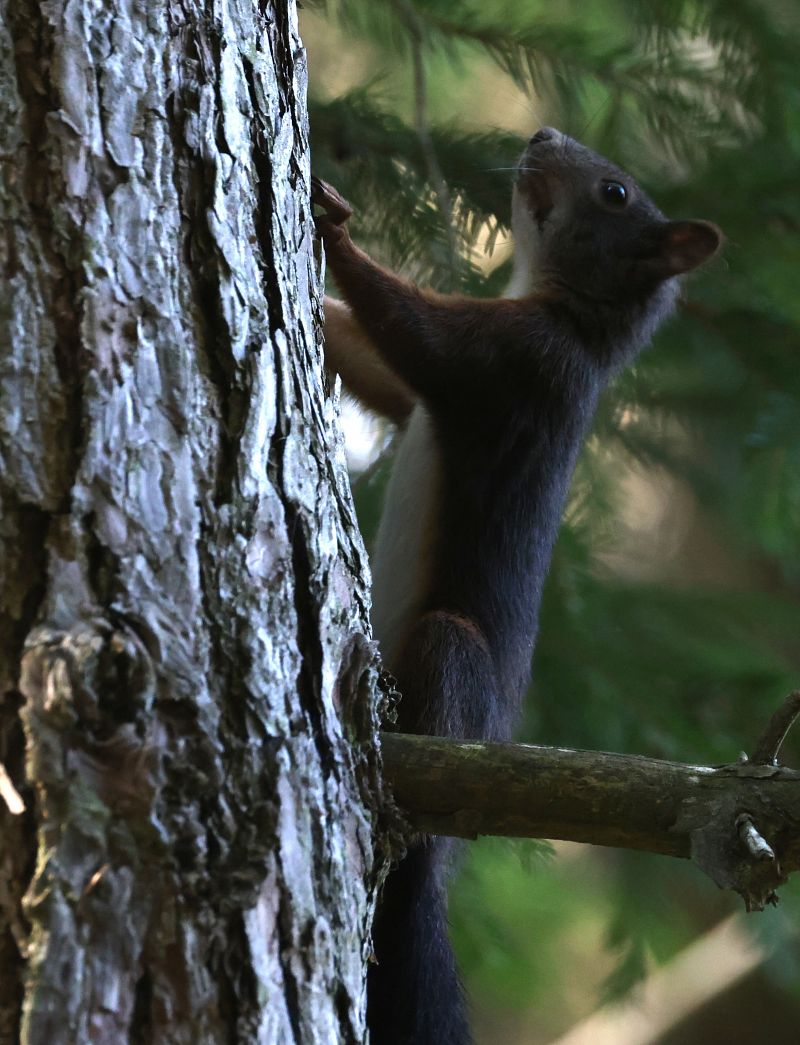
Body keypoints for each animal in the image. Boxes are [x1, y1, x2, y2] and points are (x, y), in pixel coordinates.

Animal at [312, 127, 721, 1045]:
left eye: (614, 192)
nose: (541, 135)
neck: (572, 317)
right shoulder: (442, 385)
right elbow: (382, 374)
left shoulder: (516, 363)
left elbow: (416, 335)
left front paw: (333, 224)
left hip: (451, 660)